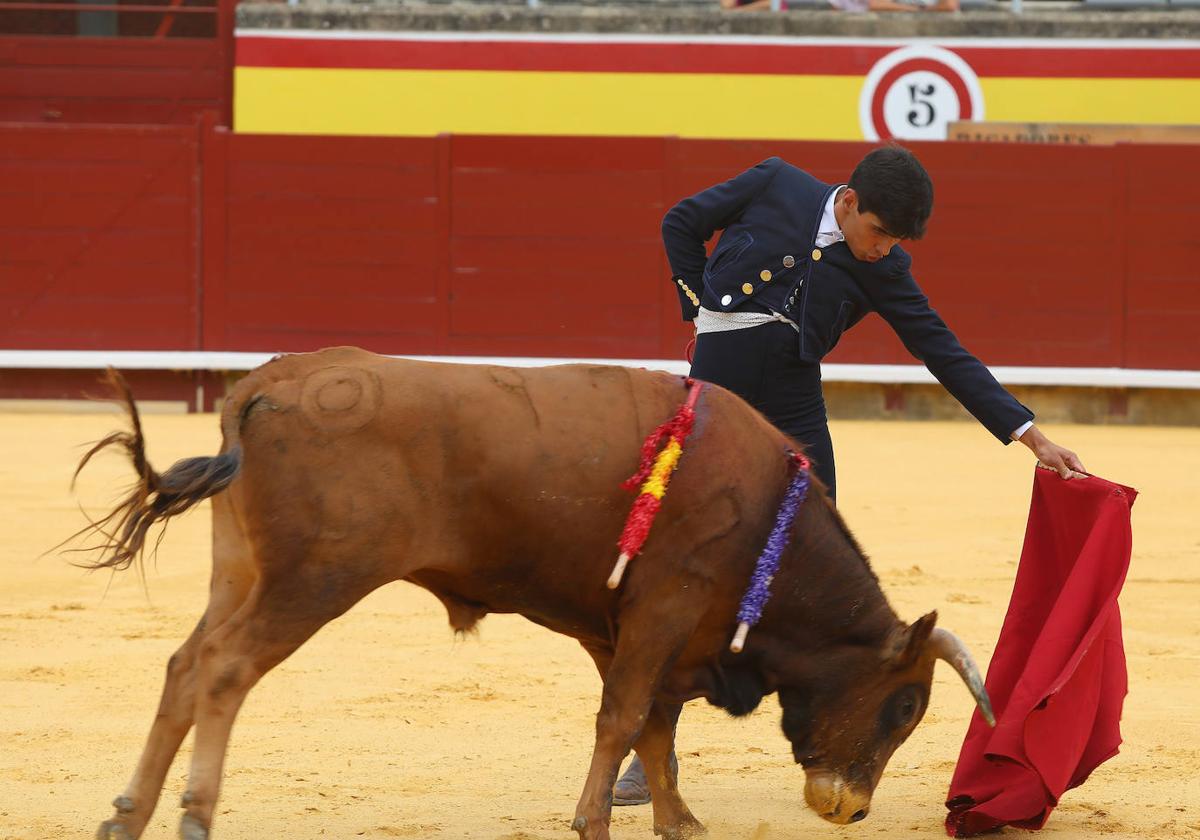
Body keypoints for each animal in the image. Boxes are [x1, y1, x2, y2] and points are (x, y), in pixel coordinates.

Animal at [77, 345, 993, 840]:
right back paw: (193, 813)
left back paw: (128, 812)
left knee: (184, 664)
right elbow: (625, 719)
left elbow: (648, 726)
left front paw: (677, 819)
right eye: (906, 706)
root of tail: (269, 381)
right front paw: (596, 821)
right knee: (226, 670)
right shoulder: (666, 605)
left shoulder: (621, 626)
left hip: (238, 568)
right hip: (314, 581)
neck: (770, 517)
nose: (852, 809)